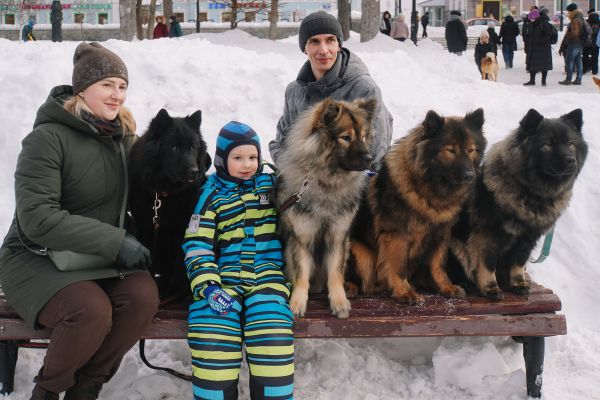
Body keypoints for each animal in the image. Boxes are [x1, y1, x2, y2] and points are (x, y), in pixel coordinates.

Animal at [129, 109, 211, 300]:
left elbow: (179, 270)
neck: (165, 194)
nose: (194, 171)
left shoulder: (184, 232)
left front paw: (174, 294)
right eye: (174, 148)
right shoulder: (147, 229)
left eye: (192, 147)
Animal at [350, 109, 486, 304]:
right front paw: (404, 292)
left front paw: (446, 287)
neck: (430, 192)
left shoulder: (441, 234)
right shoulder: (397, 235)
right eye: (451, 150)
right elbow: (398, 266)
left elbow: (439, 265)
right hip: (362, 253)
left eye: (470, 150)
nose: (470, 176)